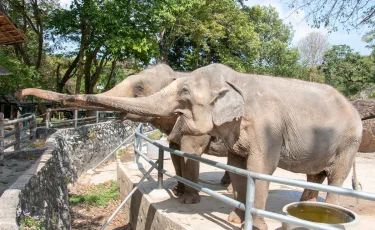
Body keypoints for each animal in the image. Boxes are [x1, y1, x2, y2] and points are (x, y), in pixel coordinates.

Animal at [19, 63, 232, 204]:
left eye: (139, 87)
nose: (20, 93)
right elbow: (175, 152)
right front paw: (177, 192)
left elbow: (190, 152)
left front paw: (187, 201)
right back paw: (226, 185)